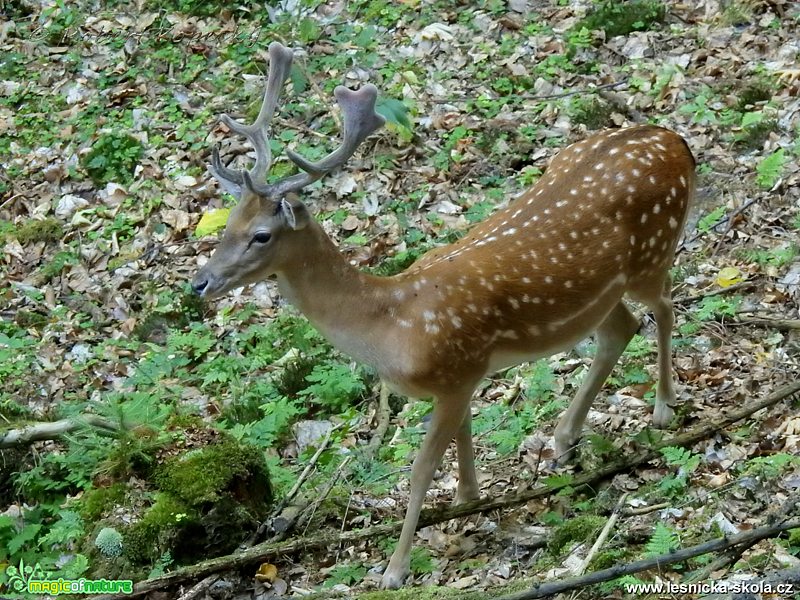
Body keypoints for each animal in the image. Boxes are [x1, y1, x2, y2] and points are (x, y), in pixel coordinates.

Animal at [192, 43, 692, 592]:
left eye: (261, 235)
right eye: (227, 223)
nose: (200, 282)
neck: (389, 325)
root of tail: (676, 141)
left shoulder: (455, 373)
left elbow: (421, 468)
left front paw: (394, 569)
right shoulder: (465, 374)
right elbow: (463, 439)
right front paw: (467, 498)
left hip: (653, 252)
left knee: (665, 307)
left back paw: (663, 406)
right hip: (600, 295)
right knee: (621, 329)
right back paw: (564, 439)